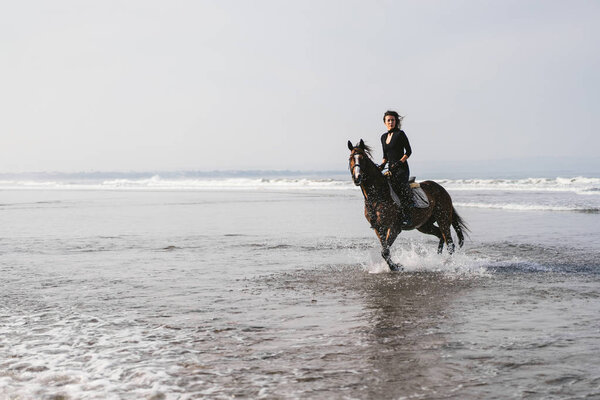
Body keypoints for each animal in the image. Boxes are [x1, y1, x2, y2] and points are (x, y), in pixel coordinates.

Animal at [346, 138, 468, 272]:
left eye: (363, 158)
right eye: (350, 158)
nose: (357, 178)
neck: (377, 195)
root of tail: (443, 190)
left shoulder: (394, 227)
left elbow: (385, 251)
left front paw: (396, 267)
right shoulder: (379, 228)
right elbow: (385, 249)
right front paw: (394, 266)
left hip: (443, 219)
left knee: (450, 243)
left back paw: (446, 264)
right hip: (424, 225)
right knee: (440, 235)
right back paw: (437, 258)